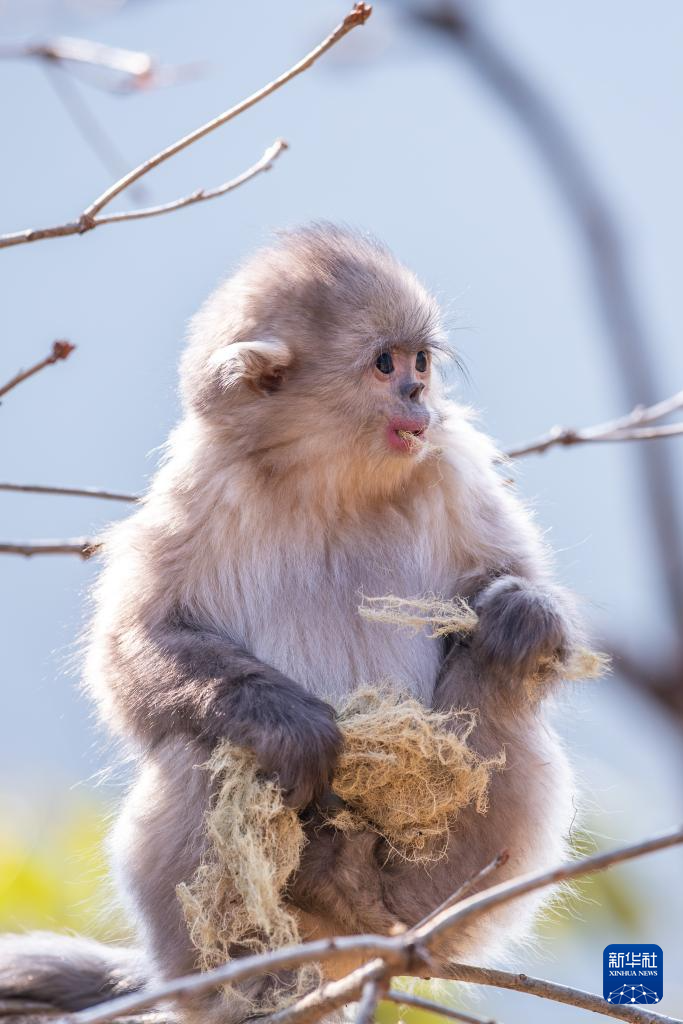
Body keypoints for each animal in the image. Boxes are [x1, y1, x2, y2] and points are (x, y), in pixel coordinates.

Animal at [0, 228, 581, 1019]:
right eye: (385, 364)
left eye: (421, 362)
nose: (416, 395)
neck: (330, 482)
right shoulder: (200, 480)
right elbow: (135, 645)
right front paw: (287, 724)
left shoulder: (452, 463)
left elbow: (538, 621)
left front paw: (521, 612)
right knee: (200, 747)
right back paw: (261, 970)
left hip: (474, 879)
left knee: (500, 686)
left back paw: (366, 891)